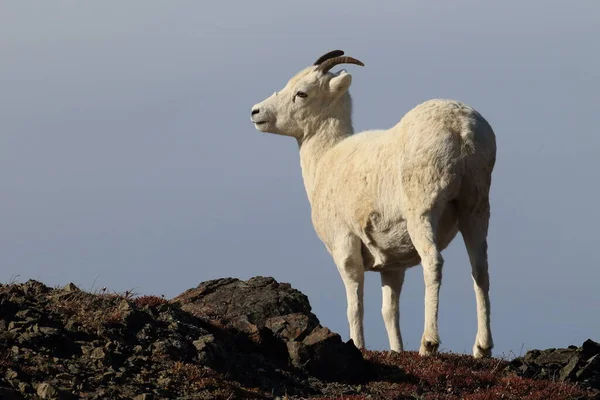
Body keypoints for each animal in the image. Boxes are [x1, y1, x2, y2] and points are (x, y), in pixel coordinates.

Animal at [250, 50, 496, 360]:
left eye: (301, 93)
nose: (256, 112)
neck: (326, 158)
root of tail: (460, 128)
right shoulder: (393, 265)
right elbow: (389, 311)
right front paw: (397, 351)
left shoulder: (345, 247)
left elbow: (355, 304)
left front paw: (358, 345)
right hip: (475, 210)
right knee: (480, 269)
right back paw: (482, 348)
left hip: (423, 213)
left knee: (434, 262)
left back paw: (428, 344)